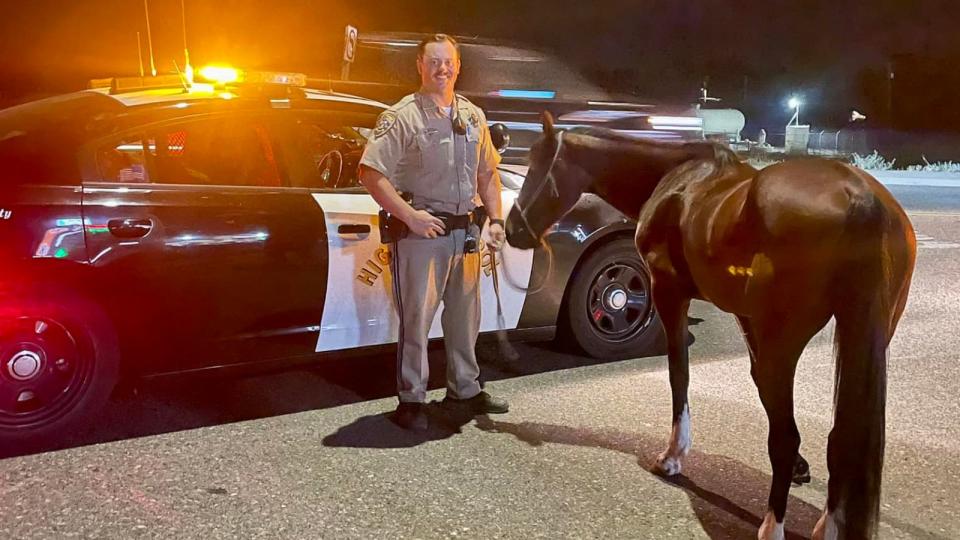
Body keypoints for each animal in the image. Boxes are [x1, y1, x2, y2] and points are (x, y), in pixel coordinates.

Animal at [502, 112, 916, 536]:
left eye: (537, 165)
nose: (512, 228)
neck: (674, 178)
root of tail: (858, 198)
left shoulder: (668, 293)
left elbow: (679, 375)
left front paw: (673, 455)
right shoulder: (746, 315)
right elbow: (759, 385)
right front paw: (802, 467)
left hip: (784, 339)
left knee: (788, 437)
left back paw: (773, 525)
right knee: (840, 436)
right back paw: (826, 523)